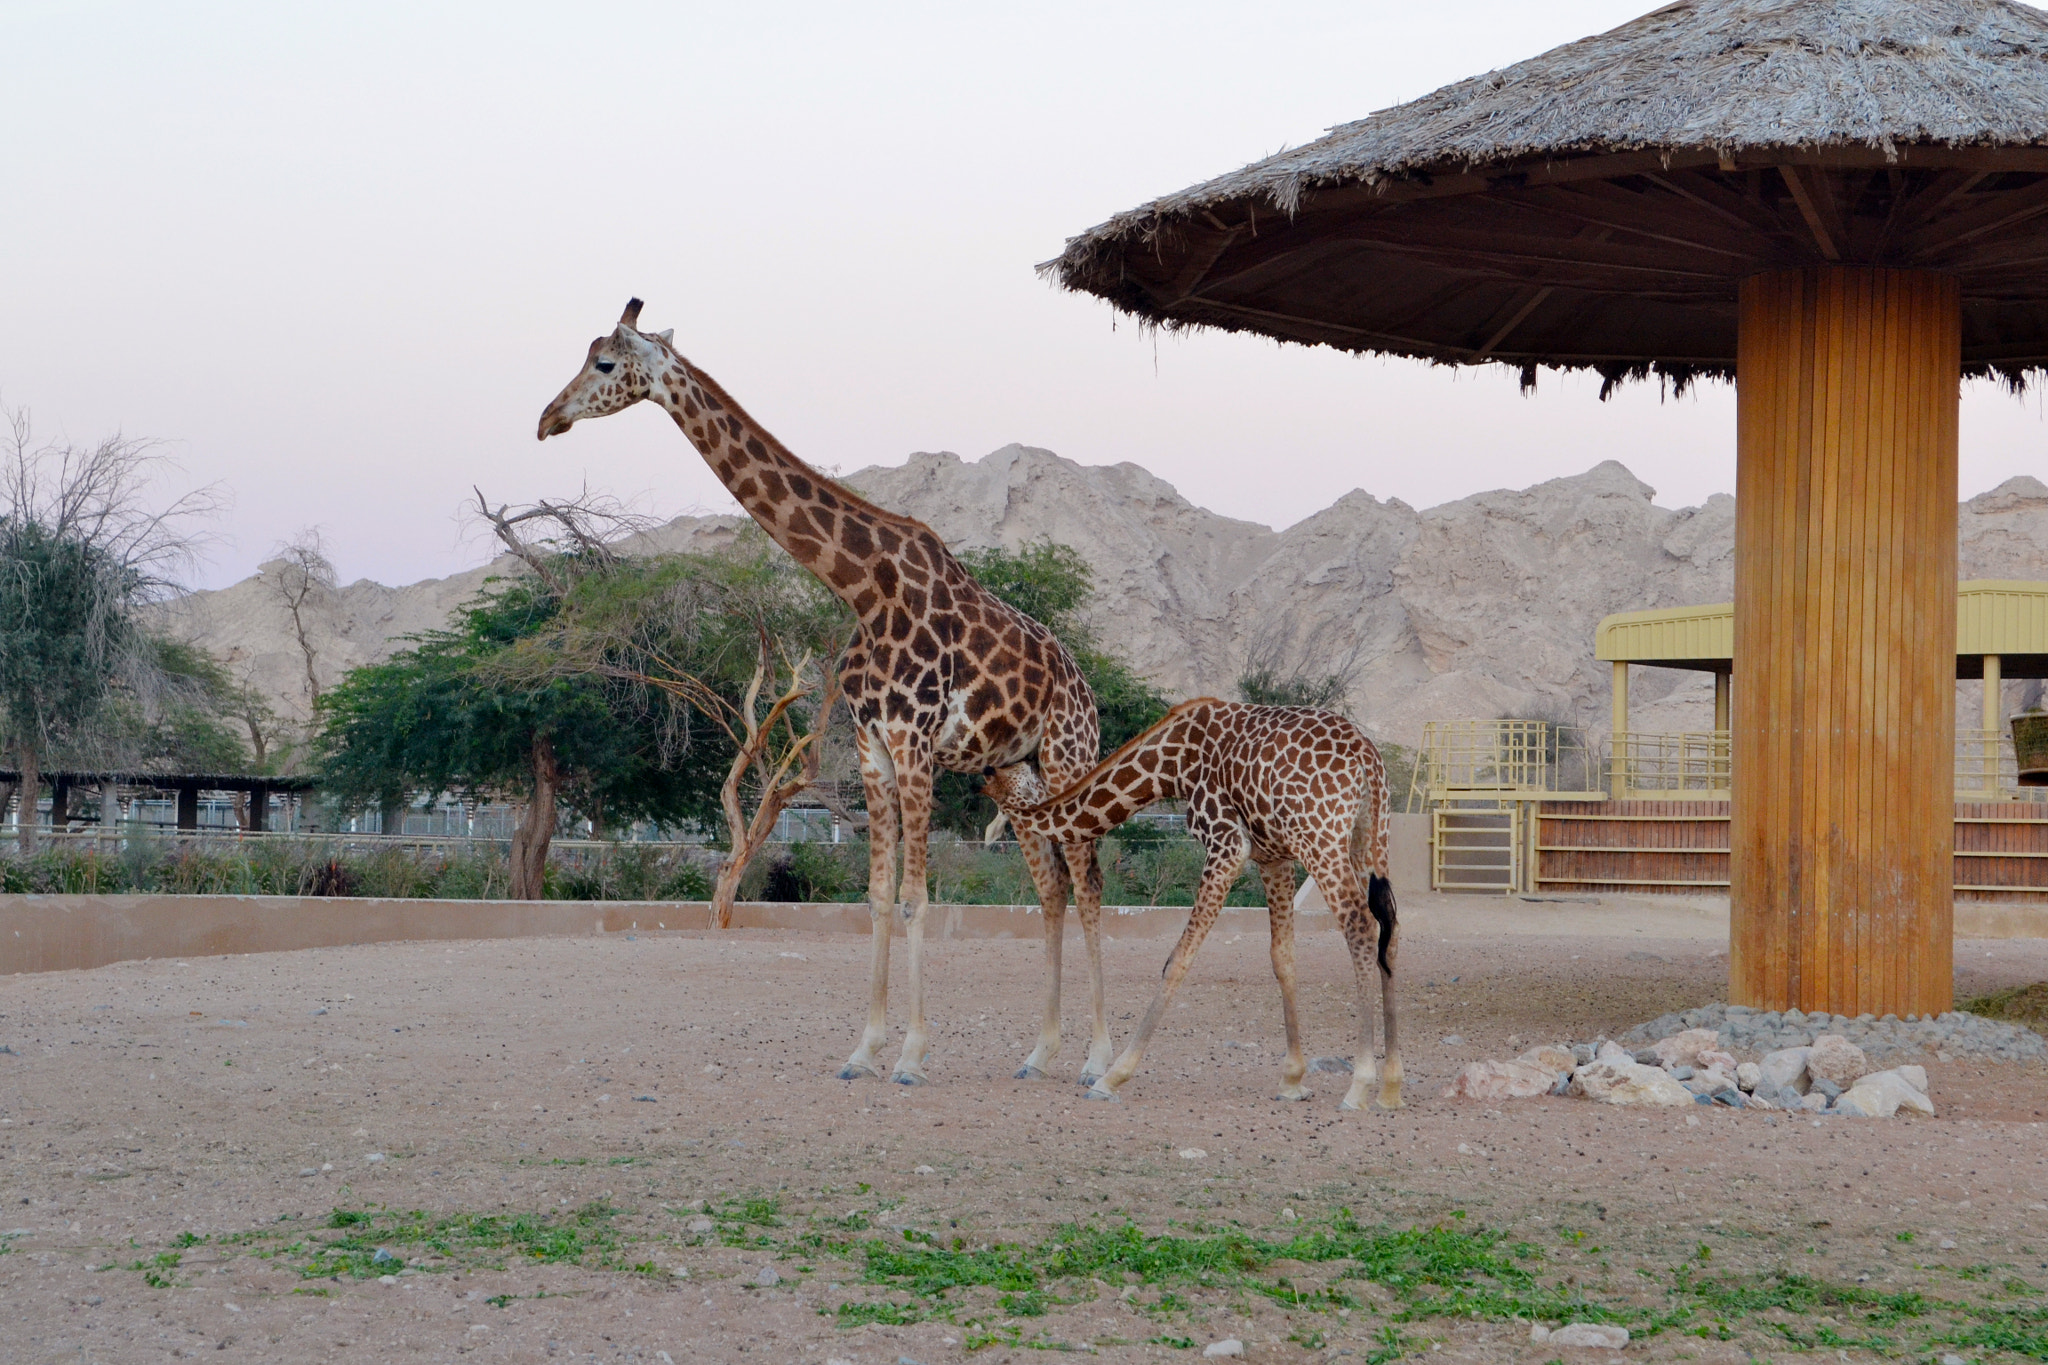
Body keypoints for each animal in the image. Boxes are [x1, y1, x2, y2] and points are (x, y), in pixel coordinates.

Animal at [536, 298, 1114, 1088]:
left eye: (603, 362)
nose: (547, 418)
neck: (861, 586)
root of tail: (1083, 683)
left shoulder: (913, 743)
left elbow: (915, 897)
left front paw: (911, 1055)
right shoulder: (873, 746)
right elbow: (875, 896)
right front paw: (863, 1049)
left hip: (1066, 757)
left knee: (1088, 886)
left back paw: (1098, 1060)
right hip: (1013, 772)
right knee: (1051, 888)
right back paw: (1040, 1052)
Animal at [978, 695, 1400, 1113]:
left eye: (1004, 786)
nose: (1001, 832)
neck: (1171, 764)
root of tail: (1368, 760)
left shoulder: (1227, 844)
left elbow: (1177, 959)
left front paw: (1110, 1078)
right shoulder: (1272, 857)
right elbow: (1282, 958)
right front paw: (1292, 1081)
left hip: (1319, 839)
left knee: (1361, 925)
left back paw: (1360, 1086)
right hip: (1370, 837)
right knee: (1389, 930)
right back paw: (1390, 1088)